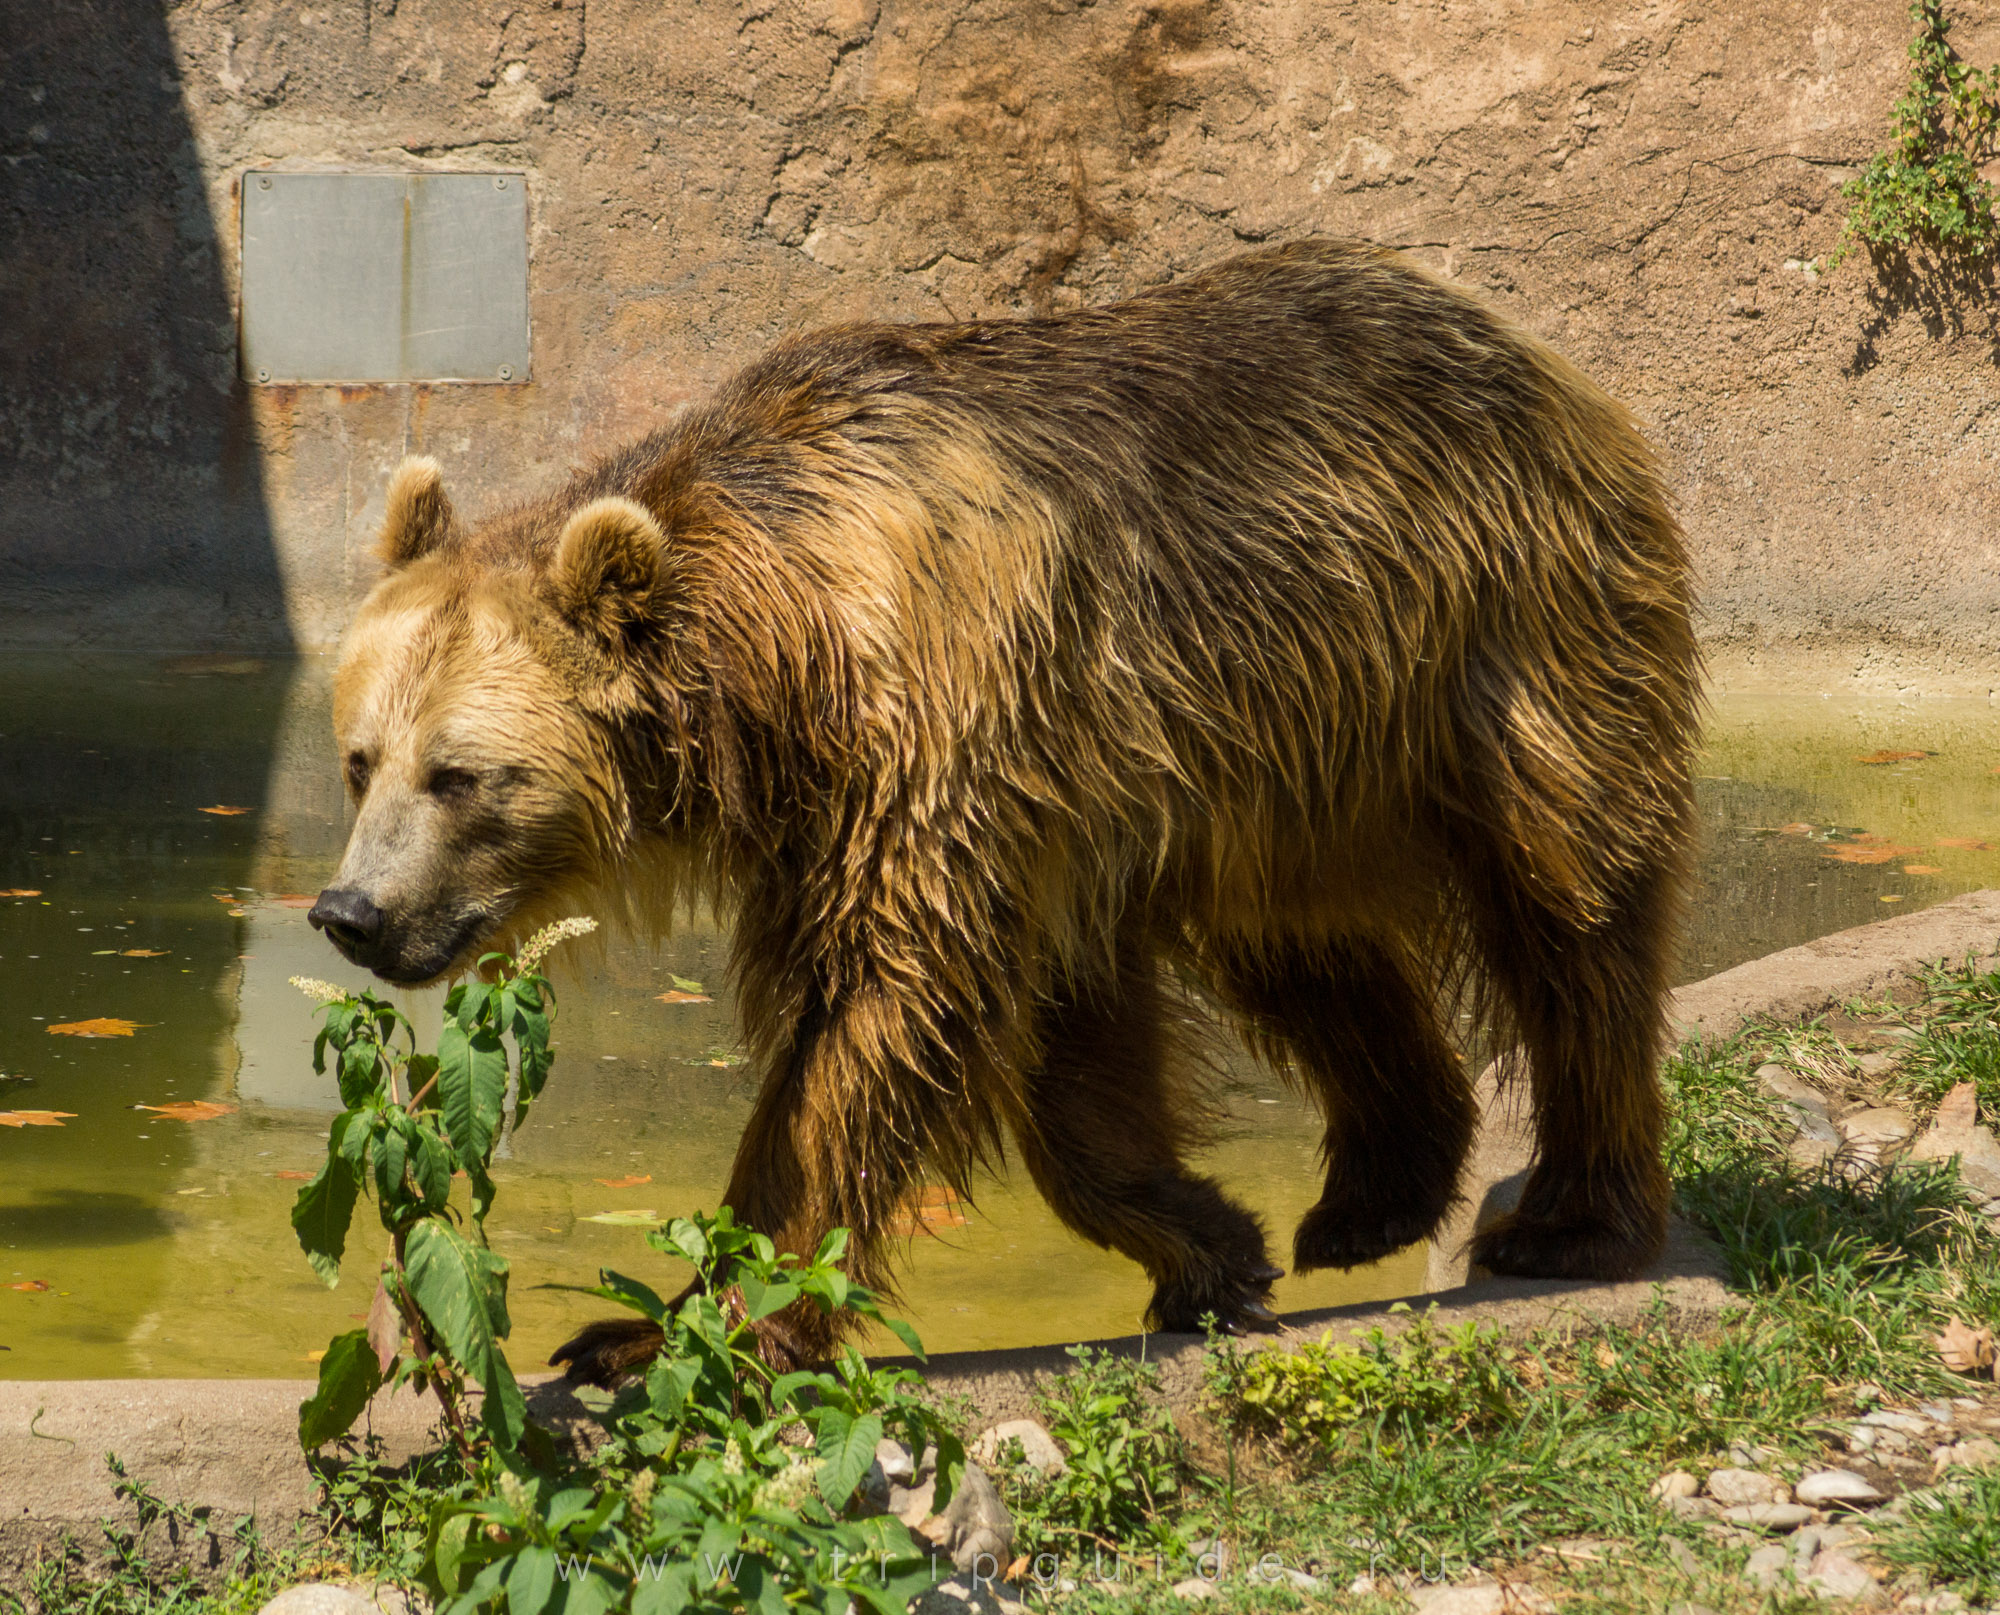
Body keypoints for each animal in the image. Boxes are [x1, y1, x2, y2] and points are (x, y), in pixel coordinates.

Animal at [310, 238, 1700, 1381]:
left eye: (461, 773)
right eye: (359, 759)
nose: (350, 912)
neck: (781, 656)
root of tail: (1521, 339)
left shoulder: (946, 736)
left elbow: (879, 1008)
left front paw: (683, 1328)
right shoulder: (1017, 809)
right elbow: (1076, 1046)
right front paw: (1210, 1245)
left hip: (1496, 640)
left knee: (1568, 905)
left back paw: (1572, 1216)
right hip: (1284, 740)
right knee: (1295, 939)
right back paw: (1375, 1191)